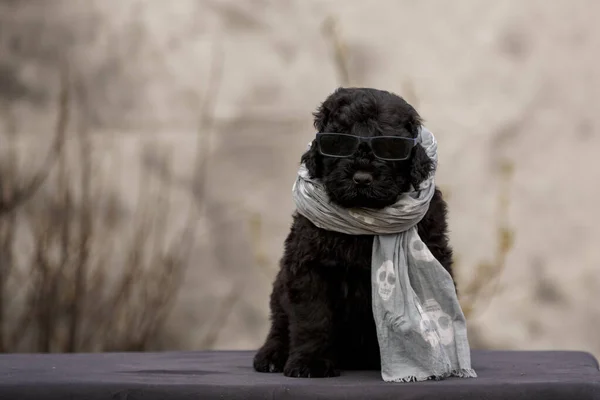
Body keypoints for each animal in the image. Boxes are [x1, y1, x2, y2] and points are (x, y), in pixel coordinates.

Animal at [253, 87, 454, 378]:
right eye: (338, 142)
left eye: (389, 146)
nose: (361, 178)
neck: (363, 218)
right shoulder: (308, 266)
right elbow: (312, 318)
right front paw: (310, 362)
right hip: (280, 288)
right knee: (279, 324)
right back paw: (272, 355)